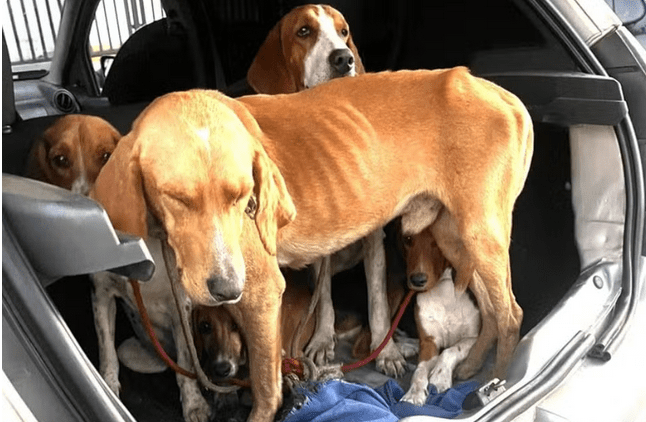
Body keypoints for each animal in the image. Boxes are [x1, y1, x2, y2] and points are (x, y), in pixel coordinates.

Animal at [402, 226, 484, 404]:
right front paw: (414, 392)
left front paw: (440, 376)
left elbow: (451, 350)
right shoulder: (429, 343)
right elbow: (419, 371)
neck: (443, 292)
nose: (417, 280)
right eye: (408, 238)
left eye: (438, 240)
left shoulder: (474, 338)